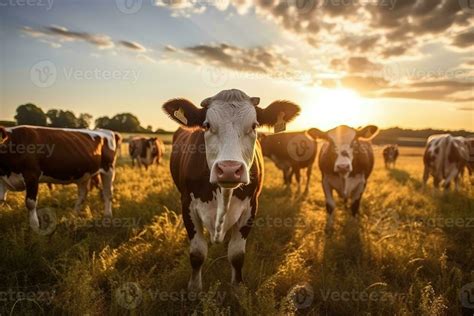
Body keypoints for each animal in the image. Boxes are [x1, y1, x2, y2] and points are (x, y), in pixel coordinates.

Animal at [161, 89, 298, 292]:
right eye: (207, 125)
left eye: (254, 125)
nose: (229, 169)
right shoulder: (188, 204)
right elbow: (197, 253)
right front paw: (194, 288)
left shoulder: (251, 207)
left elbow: (236, 254)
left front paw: (237, 288)